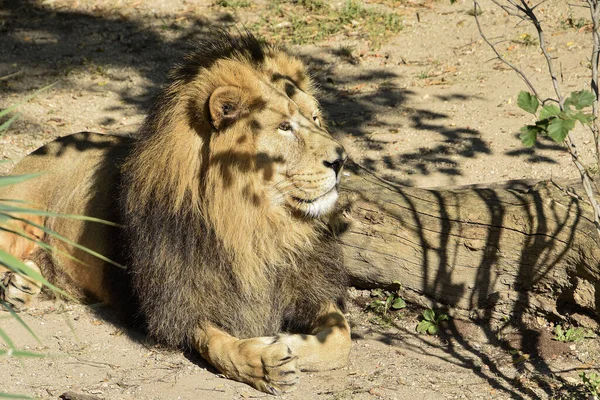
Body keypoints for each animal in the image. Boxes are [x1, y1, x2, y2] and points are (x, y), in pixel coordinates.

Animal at [0, 32, 352, 396]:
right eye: (284, 126)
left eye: (315, 119)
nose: (342, 159)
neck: (257, 222)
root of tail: (45, 146)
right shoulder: (178, 299)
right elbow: (216, 343)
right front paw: (263, 362)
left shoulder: (309, 285)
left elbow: (342, 338)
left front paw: (286, 339)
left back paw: (20, 286)